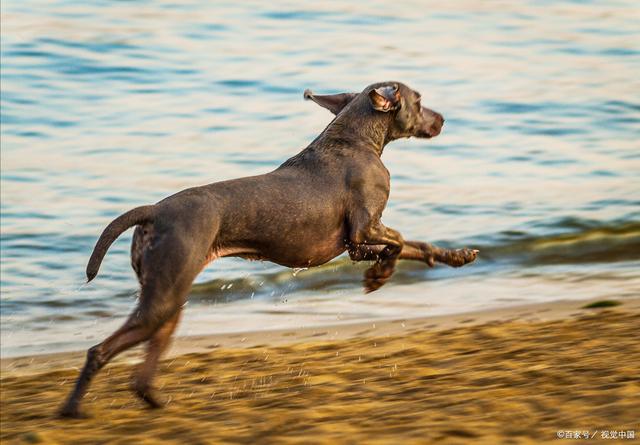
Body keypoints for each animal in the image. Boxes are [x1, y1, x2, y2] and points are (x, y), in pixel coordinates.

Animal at [60, 81, 478, 418]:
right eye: (419, 100)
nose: (443, 119)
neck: (356, 139)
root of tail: (155, 210)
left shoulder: (360, 241)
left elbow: (414, 244)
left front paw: (454, 256)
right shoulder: (362, 232)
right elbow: (398, 241)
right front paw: (379, 276)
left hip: (169, 300)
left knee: (142, 371)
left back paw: (155, 401)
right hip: (163, 296)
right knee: (99, 351)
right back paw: (73, 409)